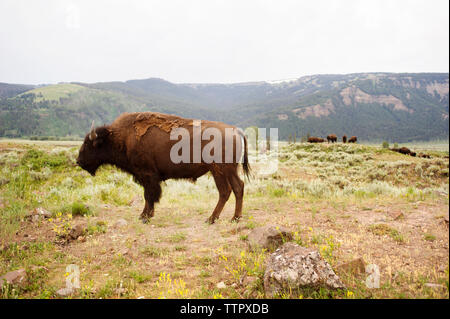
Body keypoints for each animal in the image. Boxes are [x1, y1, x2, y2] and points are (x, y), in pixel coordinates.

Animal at [76, 112, 250, 225]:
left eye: (88, 144)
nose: (78, 161)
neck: (122, 137)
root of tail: (235, 130)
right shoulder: (147, 177)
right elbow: (148, 196)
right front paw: (145, 215)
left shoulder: (147, 175)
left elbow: (149, 196)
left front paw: (145, 217)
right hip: (227, 170)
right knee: (237, 187)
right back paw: (234, 218)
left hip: (220, 170)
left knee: (227, 191)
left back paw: (213, 219)